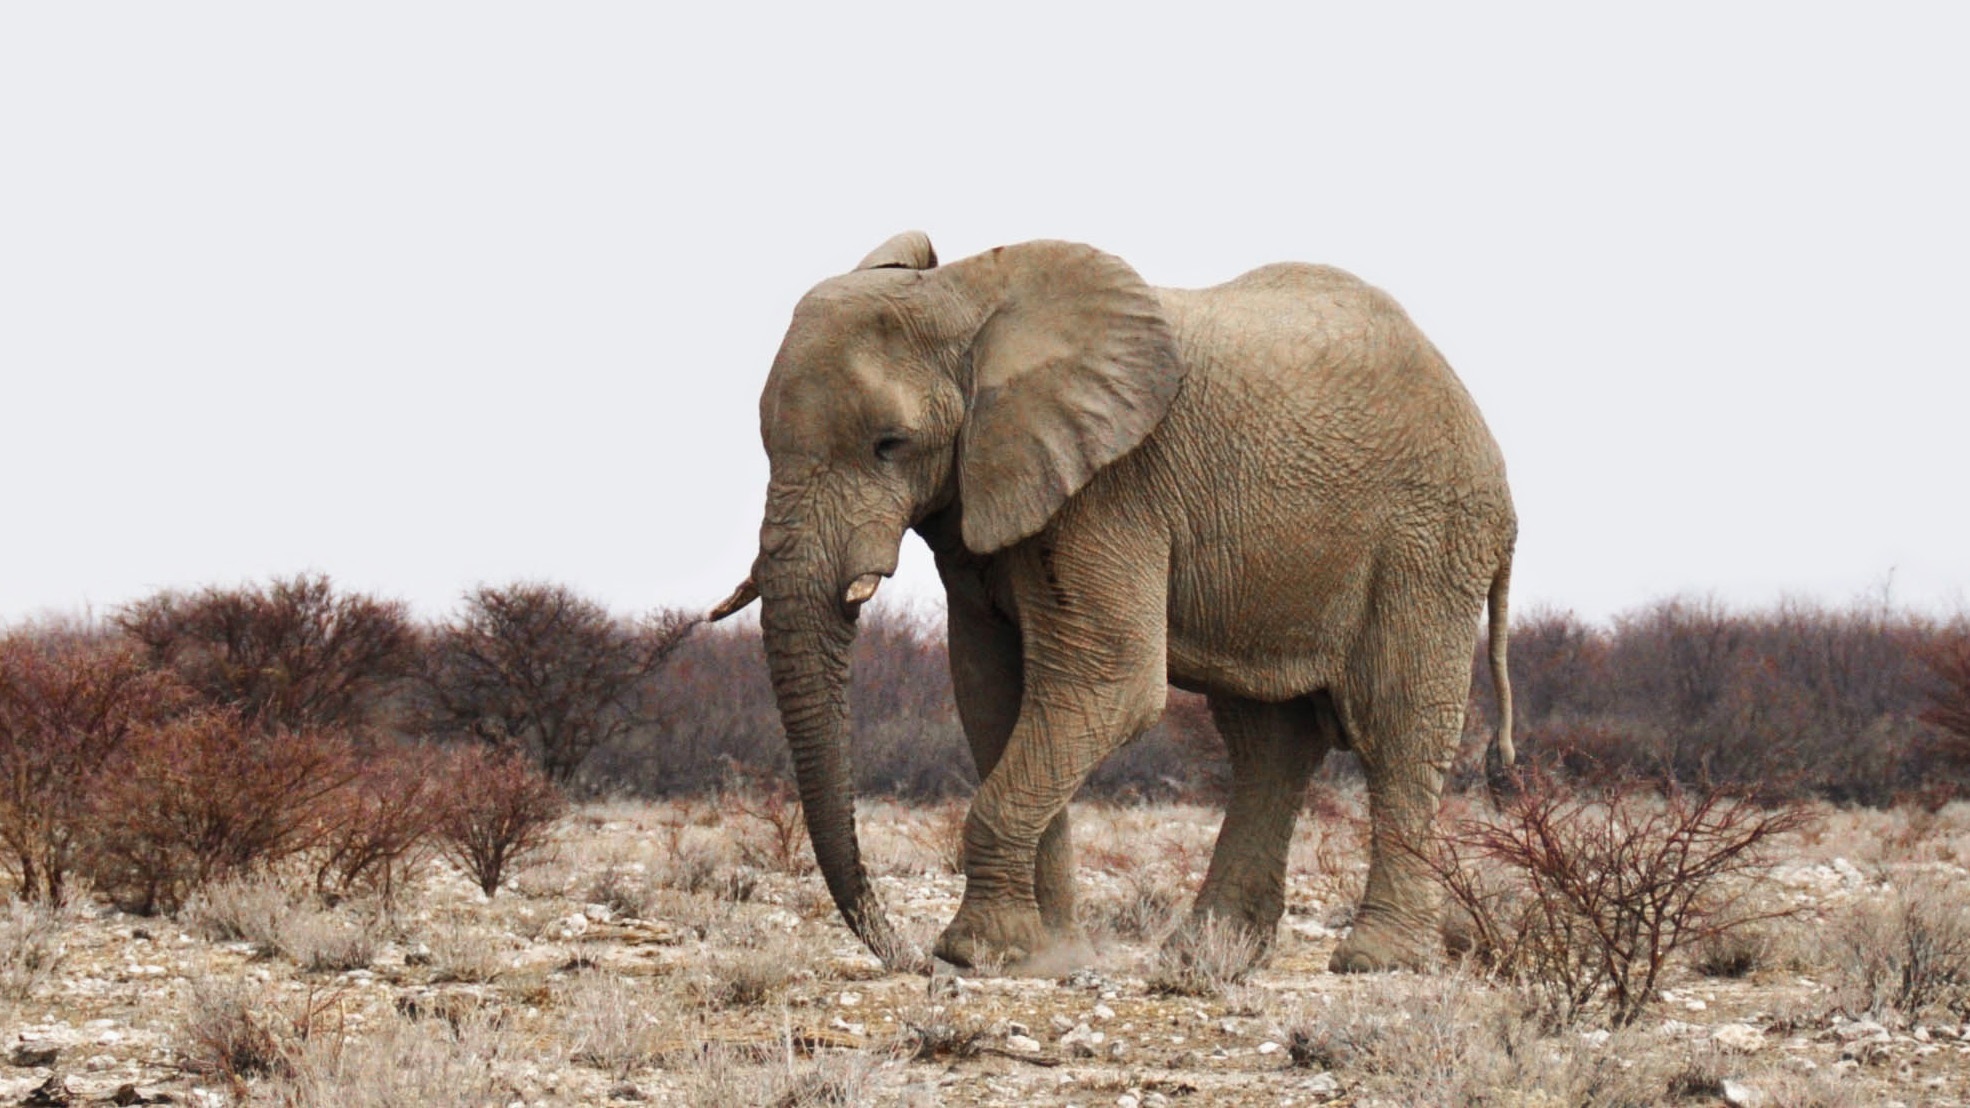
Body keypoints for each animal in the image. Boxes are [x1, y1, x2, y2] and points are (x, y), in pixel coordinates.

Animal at [717, 228, 1512, 969]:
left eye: (890, 443)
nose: (905, 957)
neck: (968, 298)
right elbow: (992, 694)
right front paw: (1045, 957)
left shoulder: (1111, 488)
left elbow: (1109, 683)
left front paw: (974, 953)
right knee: (1268, 743)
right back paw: (1204, 955)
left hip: (1428, 539)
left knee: (1396, 727)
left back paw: (1375, 959)